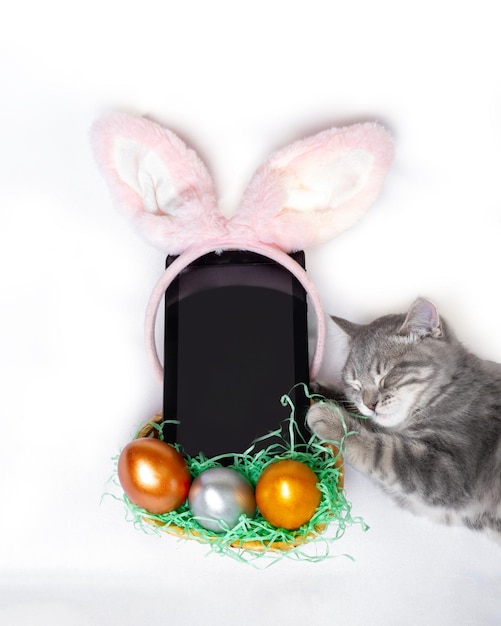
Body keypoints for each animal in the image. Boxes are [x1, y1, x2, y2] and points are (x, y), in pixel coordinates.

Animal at [306, 296, 500, 536]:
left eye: (386, 376)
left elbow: (383, 451)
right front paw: (317, 391)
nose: (370, 404)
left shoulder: (446, 472)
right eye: (355, 384)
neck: (449, 388)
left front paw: (333, 421)